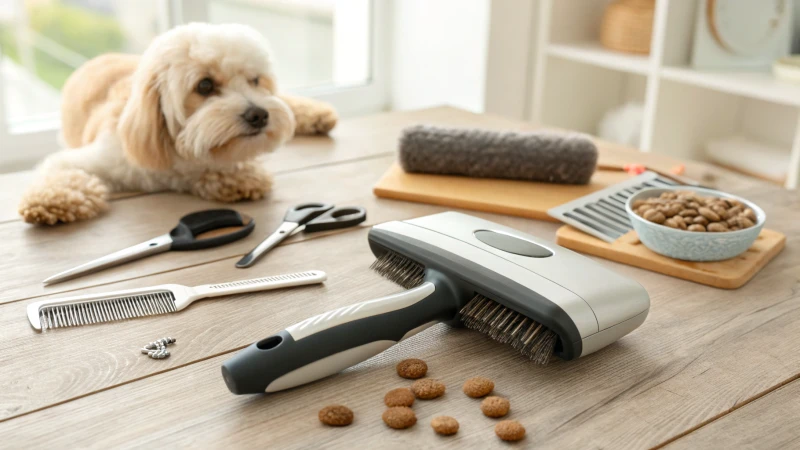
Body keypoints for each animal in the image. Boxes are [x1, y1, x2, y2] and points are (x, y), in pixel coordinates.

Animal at [18, 22, 338, 224]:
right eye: (205, 85)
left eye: (255, 80)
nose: (259, 115)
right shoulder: (91, 157)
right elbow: (60, 172)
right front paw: (53, 200)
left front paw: (238, 177)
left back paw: (318, 114)